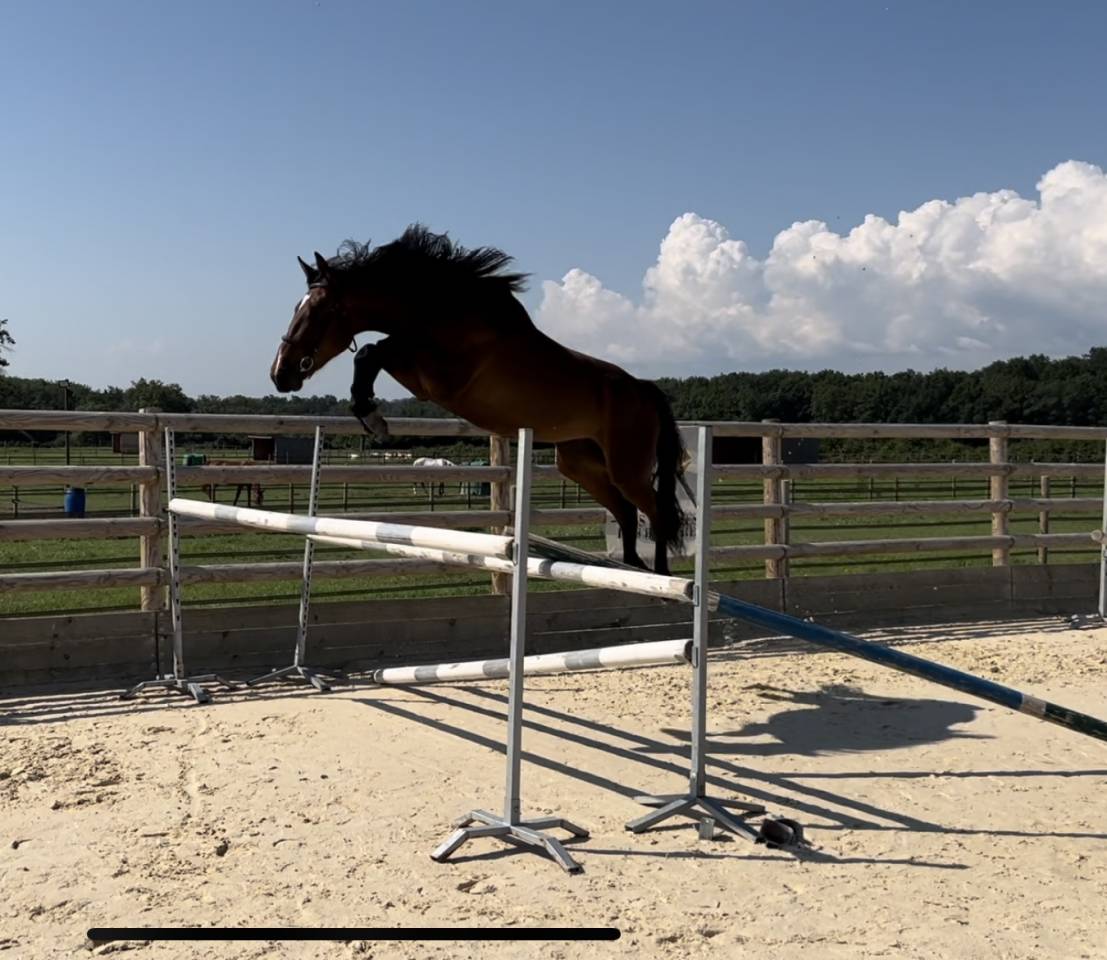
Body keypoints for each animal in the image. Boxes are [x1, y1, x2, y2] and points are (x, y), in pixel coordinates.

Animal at [268, 224, 686, 574]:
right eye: (296, 308)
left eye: (319, 311)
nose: (280, 373)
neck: (447, 313)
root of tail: (642, 388)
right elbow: (374, 350)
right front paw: (368, 413)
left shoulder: (439, 380)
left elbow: (372, 350)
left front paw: (373, 417)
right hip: (581, 463)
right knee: (627, 512)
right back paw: (634, 569)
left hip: (626, 467)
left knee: (657, 513)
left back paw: (664, 580)